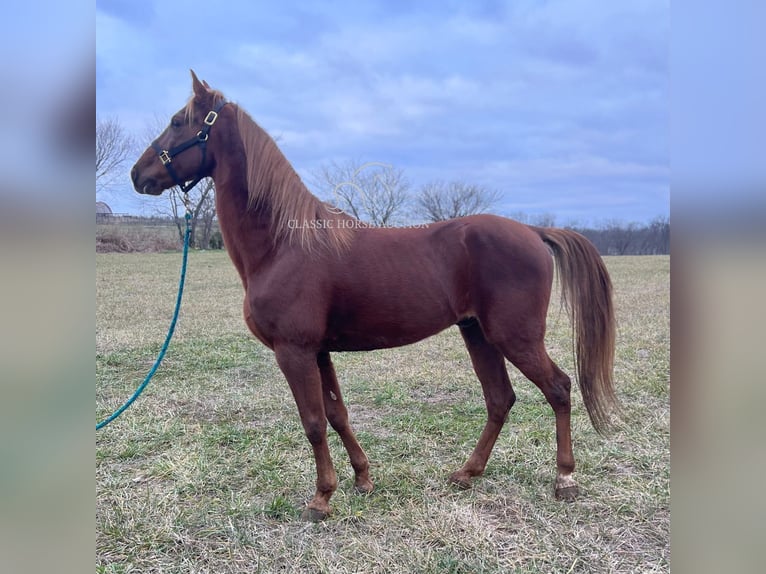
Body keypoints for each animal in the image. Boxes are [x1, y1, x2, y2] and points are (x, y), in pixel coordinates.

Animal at [132, 71, 620, 520]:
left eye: (178, 122)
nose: (138, 175)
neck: (283, 244)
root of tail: (534, 232)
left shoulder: (294, 351)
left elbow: (313, 423)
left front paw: (321, 498)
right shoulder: (319, 351)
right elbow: (337, 414)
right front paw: (362, 478)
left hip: (515, 337)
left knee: (558, 388)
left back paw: (564, 479)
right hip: (478, 333)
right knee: (500, 399)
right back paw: (467, 473)